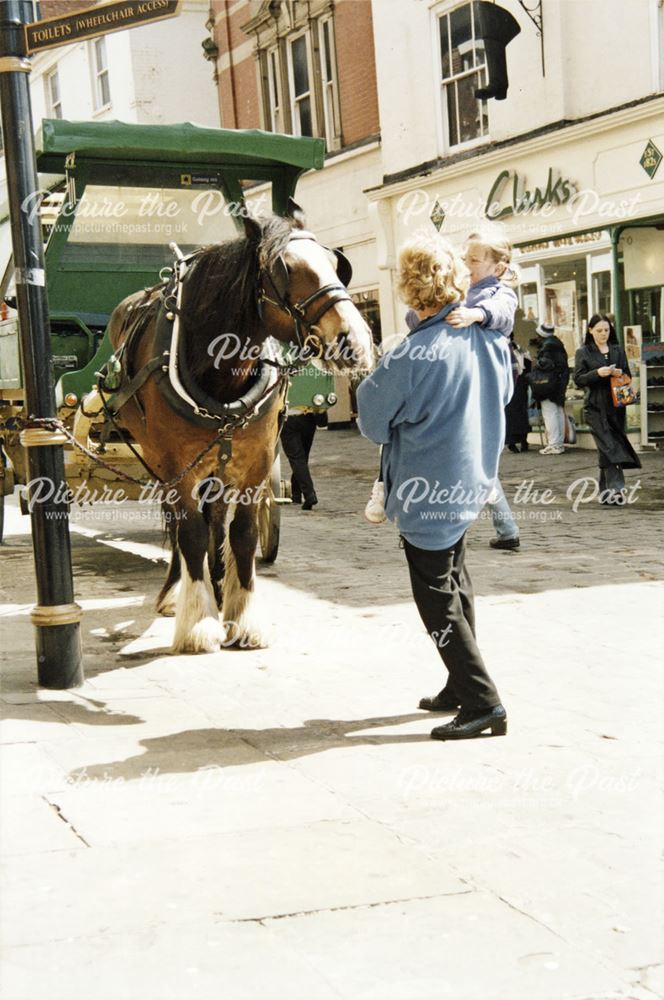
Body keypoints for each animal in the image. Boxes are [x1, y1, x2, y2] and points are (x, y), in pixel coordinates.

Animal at [104, 206, 374, 652]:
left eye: (337, 264)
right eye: (285, 269)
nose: (355, 341)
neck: (220, 375)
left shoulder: (256, 461)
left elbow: (242, 533)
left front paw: (242, 615)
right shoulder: (177, 465)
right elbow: (191, 533)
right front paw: (199, 623)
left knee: (215, 518)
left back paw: (216, 583)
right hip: (163, 463)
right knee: (180, 524)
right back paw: (179, 590)